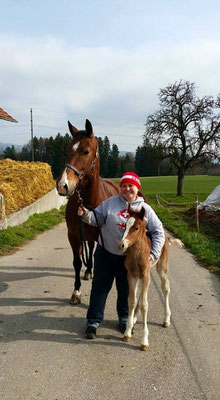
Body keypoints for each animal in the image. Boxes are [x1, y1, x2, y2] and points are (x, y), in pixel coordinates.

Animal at [55, 119, 119, 304]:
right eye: (68, 150)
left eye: (86, 151)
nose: (62, 185)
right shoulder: (74, 235)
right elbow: (77, 262)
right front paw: (76, 292)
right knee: (89, 248)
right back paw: (88, 271)